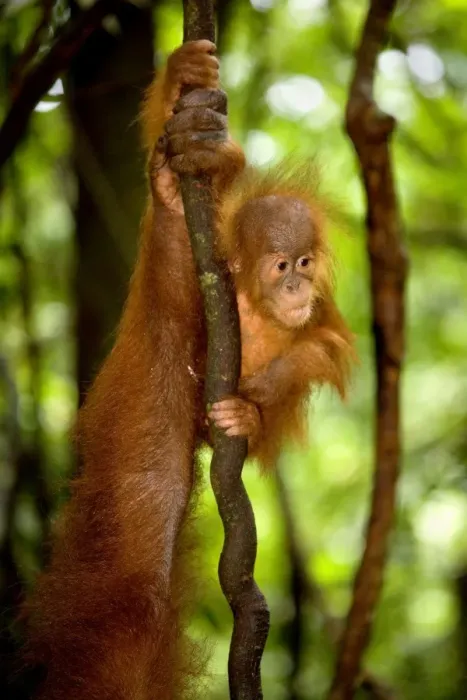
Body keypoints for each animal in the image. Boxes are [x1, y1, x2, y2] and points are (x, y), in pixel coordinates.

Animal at [23, 40, 354, 700]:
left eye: (305, 261)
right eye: (282, 265)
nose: (297, 284)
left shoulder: (320, 316)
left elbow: (319, 349)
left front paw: (251, 408)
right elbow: (178, 290)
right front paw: (185, 88)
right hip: (141, 395)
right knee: (139, 541)